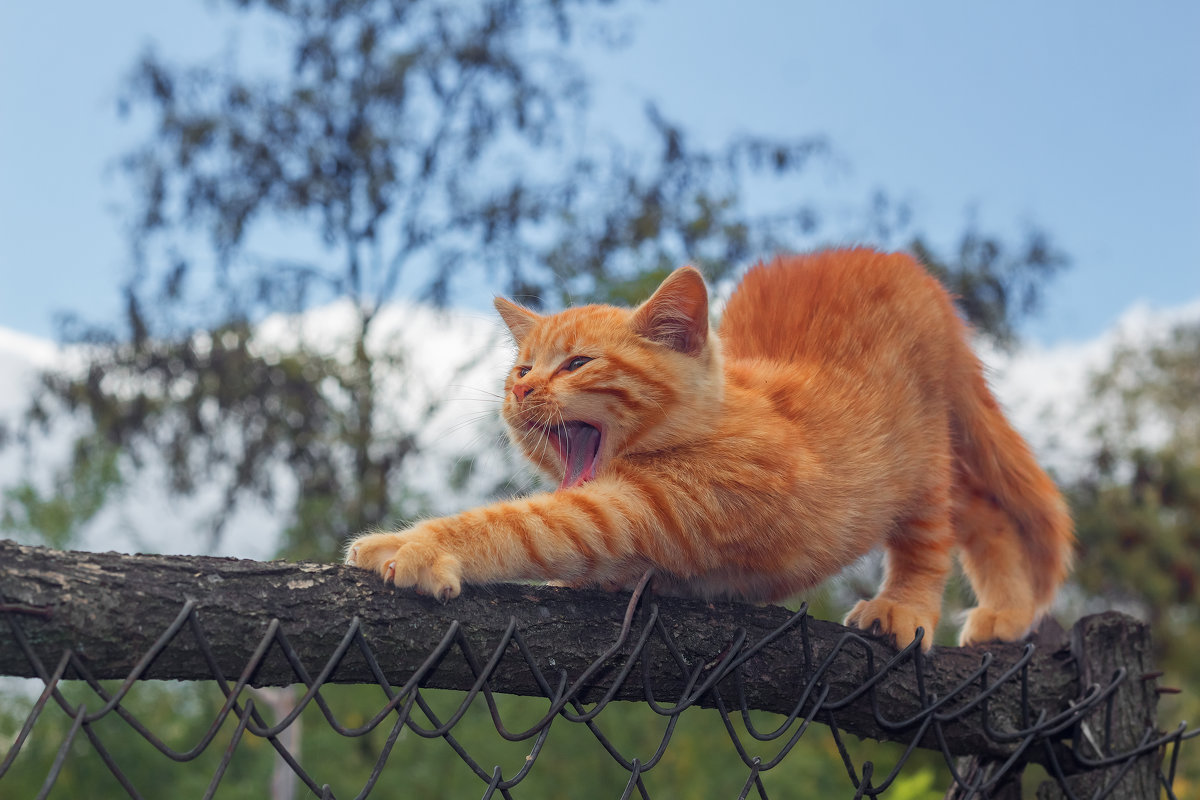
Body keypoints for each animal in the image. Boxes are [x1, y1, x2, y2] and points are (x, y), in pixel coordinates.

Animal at [343, 250, 1075, 652]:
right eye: (521, 369)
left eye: (576, 363)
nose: (521, 391)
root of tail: (912, 273)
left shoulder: (661, 501)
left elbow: (527, 524)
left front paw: (416, 545)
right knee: (983, 511)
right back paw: (1008, 614)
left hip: (920, 458)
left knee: (935, 532)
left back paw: (907, 607)